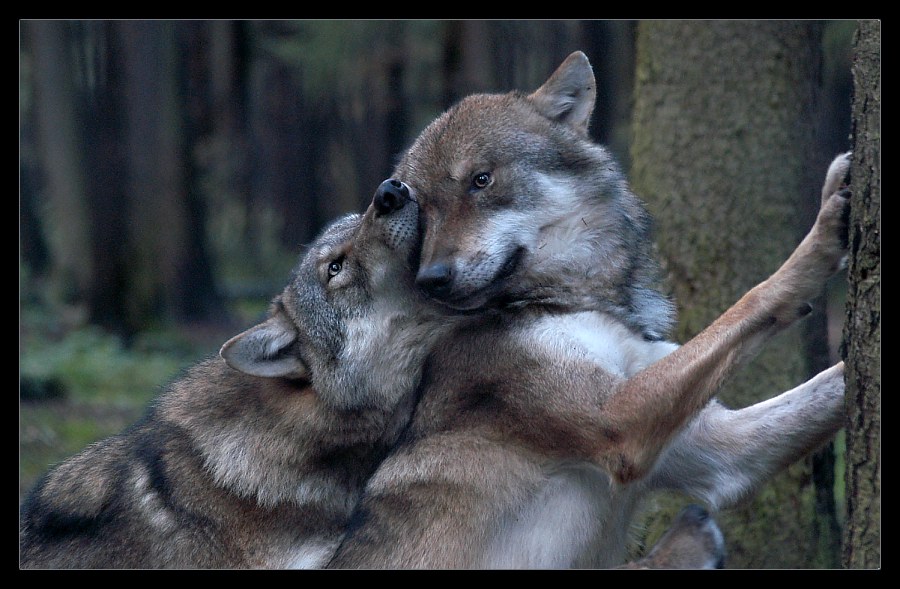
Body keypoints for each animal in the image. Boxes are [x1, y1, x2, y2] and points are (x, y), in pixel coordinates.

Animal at [326, 51, 852, 568]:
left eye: (481, 180)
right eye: (422, 210)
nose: (430, 280)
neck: (565, 302)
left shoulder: (724, 455)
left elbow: (825, 382)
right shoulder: (620, 420)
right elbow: (753, 298)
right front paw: (824, 237)